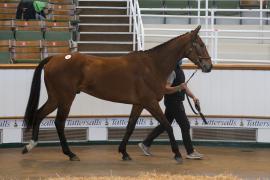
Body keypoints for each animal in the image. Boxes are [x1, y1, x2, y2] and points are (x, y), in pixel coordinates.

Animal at [22, 25, 213, 163]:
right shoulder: (150, 102)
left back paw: (30, 145)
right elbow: (167, 125)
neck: (152, 65)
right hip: (66, 98)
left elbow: (130, 127)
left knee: (39, 114)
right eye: (201, 45)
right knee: (59, 123)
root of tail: (54, 58)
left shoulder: (139, 104)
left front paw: (124, 152)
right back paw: (70, 154)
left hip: (55, 98)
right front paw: (177, 154)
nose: (209, 67)